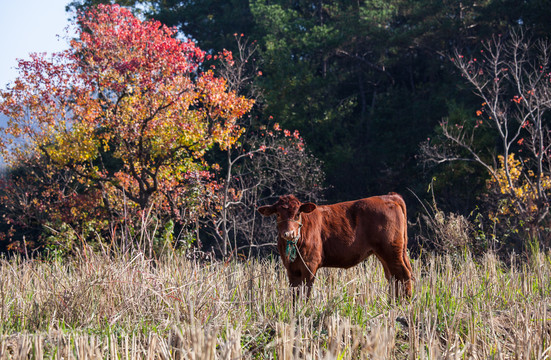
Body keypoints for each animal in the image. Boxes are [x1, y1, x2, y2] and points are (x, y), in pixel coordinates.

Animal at [258, 194, 414, 298]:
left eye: (297, 214)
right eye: (278, 214)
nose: (289, 233)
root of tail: (389, 196)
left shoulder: (310, 265)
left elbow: (305, 291)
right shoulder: (291, 268)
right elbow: (295, 293)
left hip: (391, 250)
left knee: (403, 274)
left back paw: (404, 304)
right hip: (386, 253)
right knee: (392, 277)